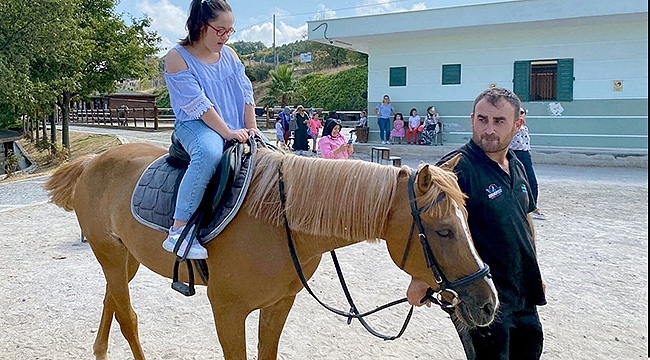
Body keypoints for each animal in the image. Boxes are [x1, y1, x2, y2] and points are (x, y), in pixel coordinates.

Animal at [44, 142, 496, 358]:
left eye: (467, 221)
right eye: (443, 231)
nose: (489, 302)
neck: (280, 220)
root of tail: (92, 162)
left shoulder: (279, 304)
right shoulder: (227, 310)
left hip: (126, 259)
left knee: (113, 300)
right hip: (109, 254)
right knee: (128, 317)